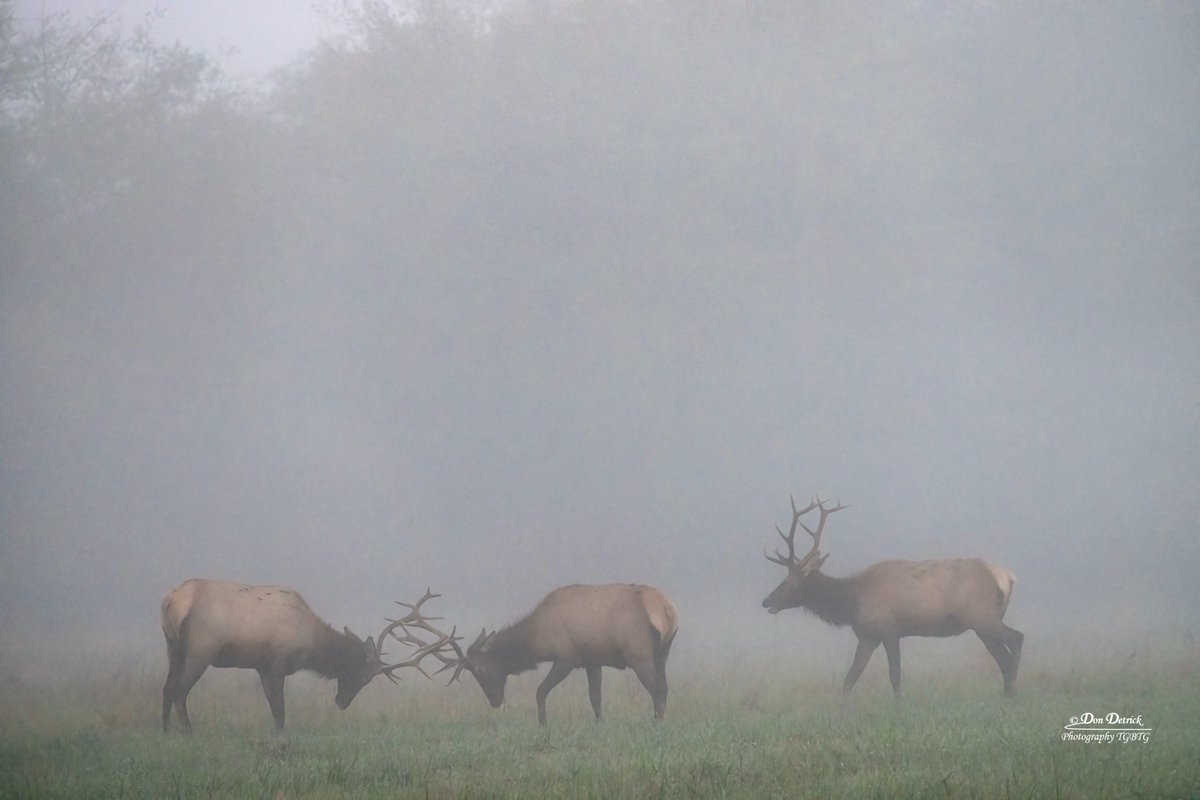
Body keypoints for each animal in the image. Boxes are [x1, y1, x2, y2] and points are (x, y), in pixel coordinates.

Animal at [160, 579, 451, 733]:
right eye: (364, 677)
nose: (341, 702)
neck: (310, 646)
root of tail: (172, 600)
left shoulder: (262, 666)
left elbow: (275, 708)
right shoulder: (276, 663)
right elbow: (279, 709)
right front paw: (280, 739)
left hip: (172, 647)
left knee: (167, 688)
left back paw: (166, 731)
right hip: (201, 649)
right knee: (180, 690)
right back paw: (188, 734)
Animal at [396, 584, 679, 725]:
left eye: (480, 669)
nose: (495, 701)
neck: (538, 638)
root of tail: (666, 609)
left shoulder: (566, 657)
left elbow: (540, 691)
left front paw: (542, 724)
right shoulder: (592, 660)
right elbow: (595, 698)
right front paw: (599, 725)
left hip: (639, 652)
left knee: (657, 690)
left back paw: (657, 724)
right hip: (663, 653)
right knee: (664, 687)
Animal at [760, 497, 1023, 695]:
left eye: (786, 582)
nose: (766, 601)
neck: (852, 602)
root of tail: (1007, 577)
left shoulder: (888, 630)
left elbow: (894, 675)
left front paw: (899, 707)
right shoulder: (868, 636)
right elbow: (850, 677)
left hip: (982, 616)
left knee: (1016, 639)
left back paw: (1012, 693)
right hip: (982, 624)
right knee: (1003, 657)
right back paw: (1007, 693)